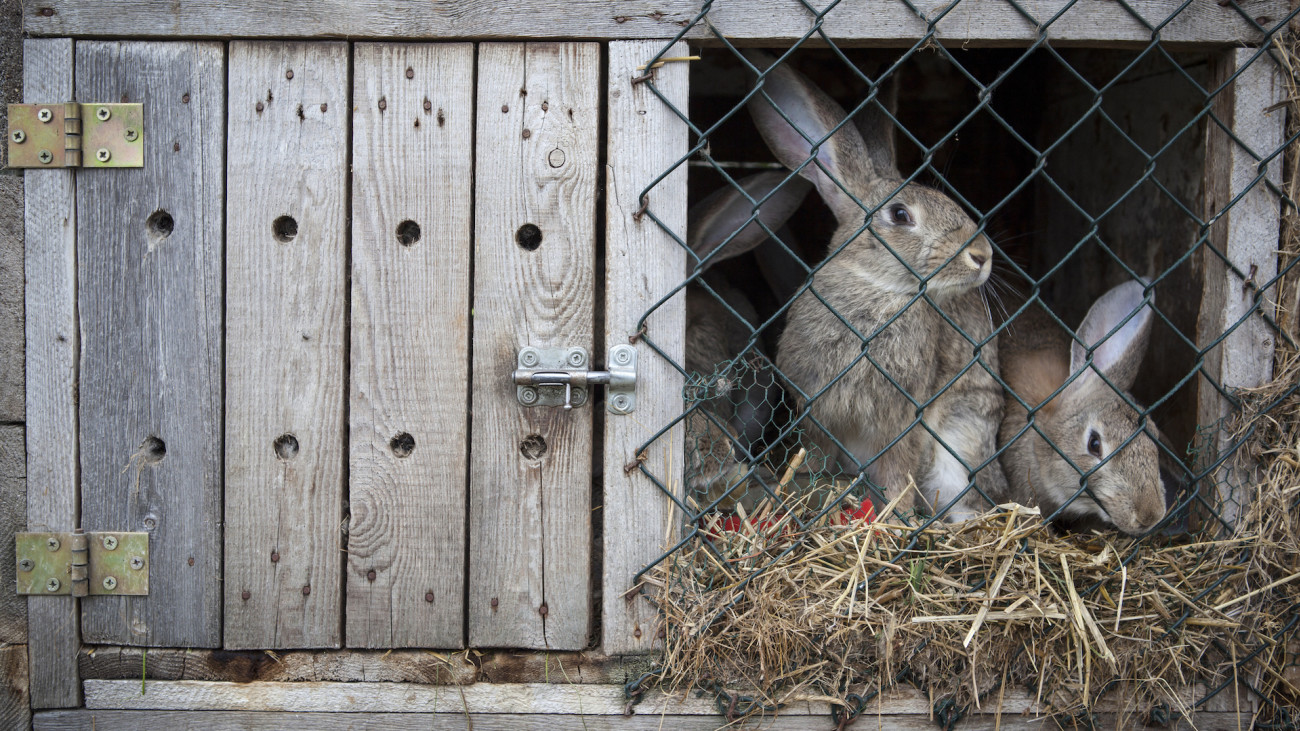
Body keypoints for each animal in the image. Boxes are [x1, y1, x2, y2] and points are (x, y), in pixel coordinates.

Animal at [745, 50, 1009, 522]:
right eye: (900, 215)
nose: (982, 255)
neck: (878, 289)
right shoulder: (817, 412)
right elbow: (818, 454)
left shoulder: (904, 419)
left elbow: (898, 467)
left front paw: (895, 515)